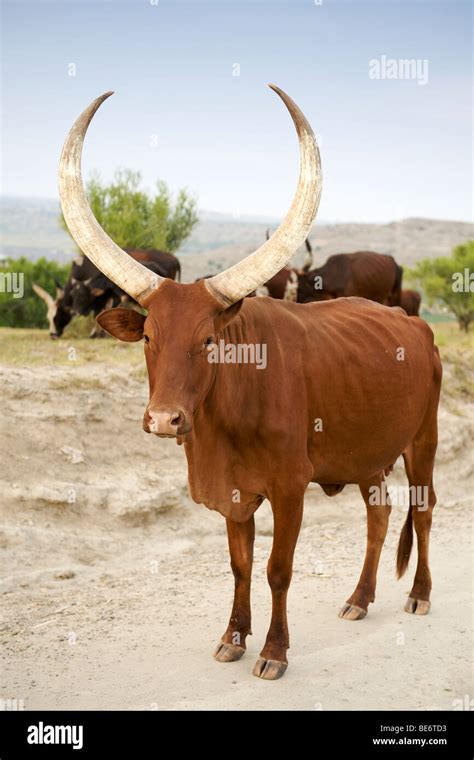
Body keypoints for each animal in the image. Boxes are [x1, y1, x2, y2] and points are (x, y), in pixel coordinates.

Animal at [58, 86, 440, 680]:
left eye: (209, 339)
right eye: (148, 338)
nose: (163, 419)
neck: (226, 422)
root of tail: (414, 324)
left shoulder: (289, 488)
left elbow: (277, 569)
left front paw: (274, 652)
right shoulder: (234, 495)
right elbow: (239, 566)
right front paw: (233, 638)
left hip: (422, 441)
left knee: (422, 511)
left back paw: (419, 594)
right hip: (369, 454)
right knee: (378, 515)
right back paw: (359, 598)